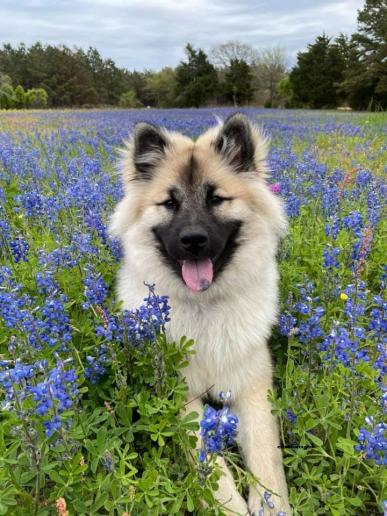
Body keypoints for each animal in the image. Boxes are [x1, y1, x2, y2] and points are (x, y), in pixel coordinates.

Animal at [109, 114, 292, 516]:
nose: (193, 240)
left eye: (216, 199)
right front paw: (230, 505)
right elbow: (209, 461)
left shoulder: (253, 389)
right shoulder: (181, 396)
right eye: (169, 203)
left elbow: (265, 454)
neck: (205, 307)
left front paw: (270, 503)